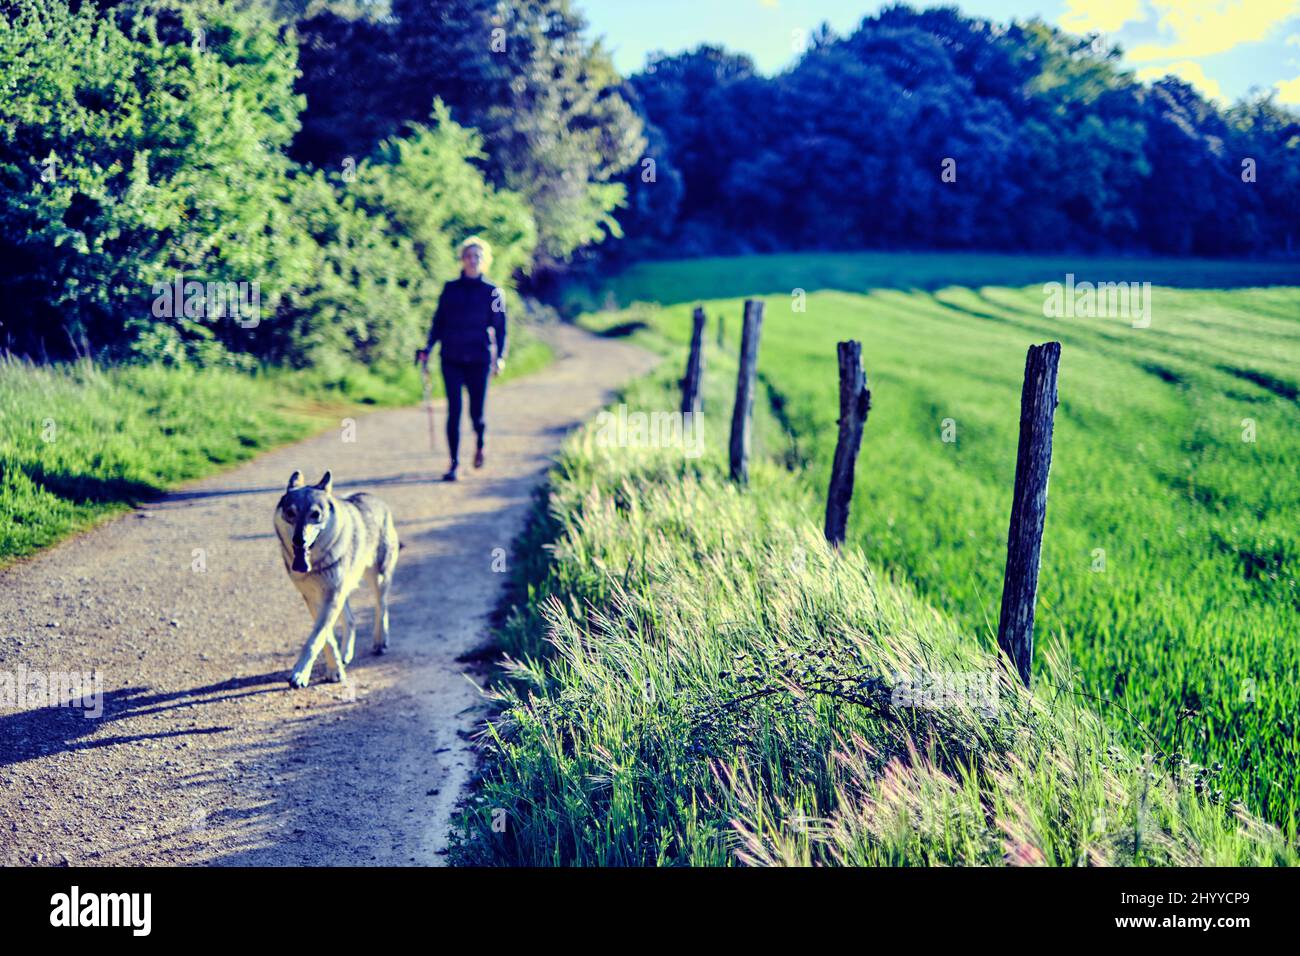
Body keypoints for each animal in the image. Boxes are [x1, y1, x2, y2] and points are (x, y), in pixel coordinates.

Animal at [271, 470, 397, 686]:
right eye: (290, 513)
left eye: (315, 515)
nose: (299, 540)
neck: (315, 565)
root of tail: (375, 498)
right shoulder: (314, 599)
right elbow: (327, 639)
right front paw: (335, 670)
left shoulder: (331, 597)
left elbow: (314, 640)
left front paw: (300, 674)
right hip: (343, 591)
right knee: (352, 620)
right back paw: (346, 654)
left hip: (377, 578)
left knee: (382, 607)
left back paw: (380, 642)